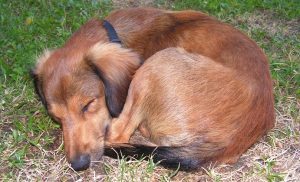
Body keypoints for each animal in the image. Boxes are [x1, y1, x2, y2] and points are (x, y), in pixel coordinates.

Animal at [32, 7, 274, 171]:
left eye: (88, 105)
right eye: (56, 117)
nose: (79, 165)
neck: (115, 35)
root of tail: (232, 141)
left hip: (158, 63)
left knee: (119, 132)